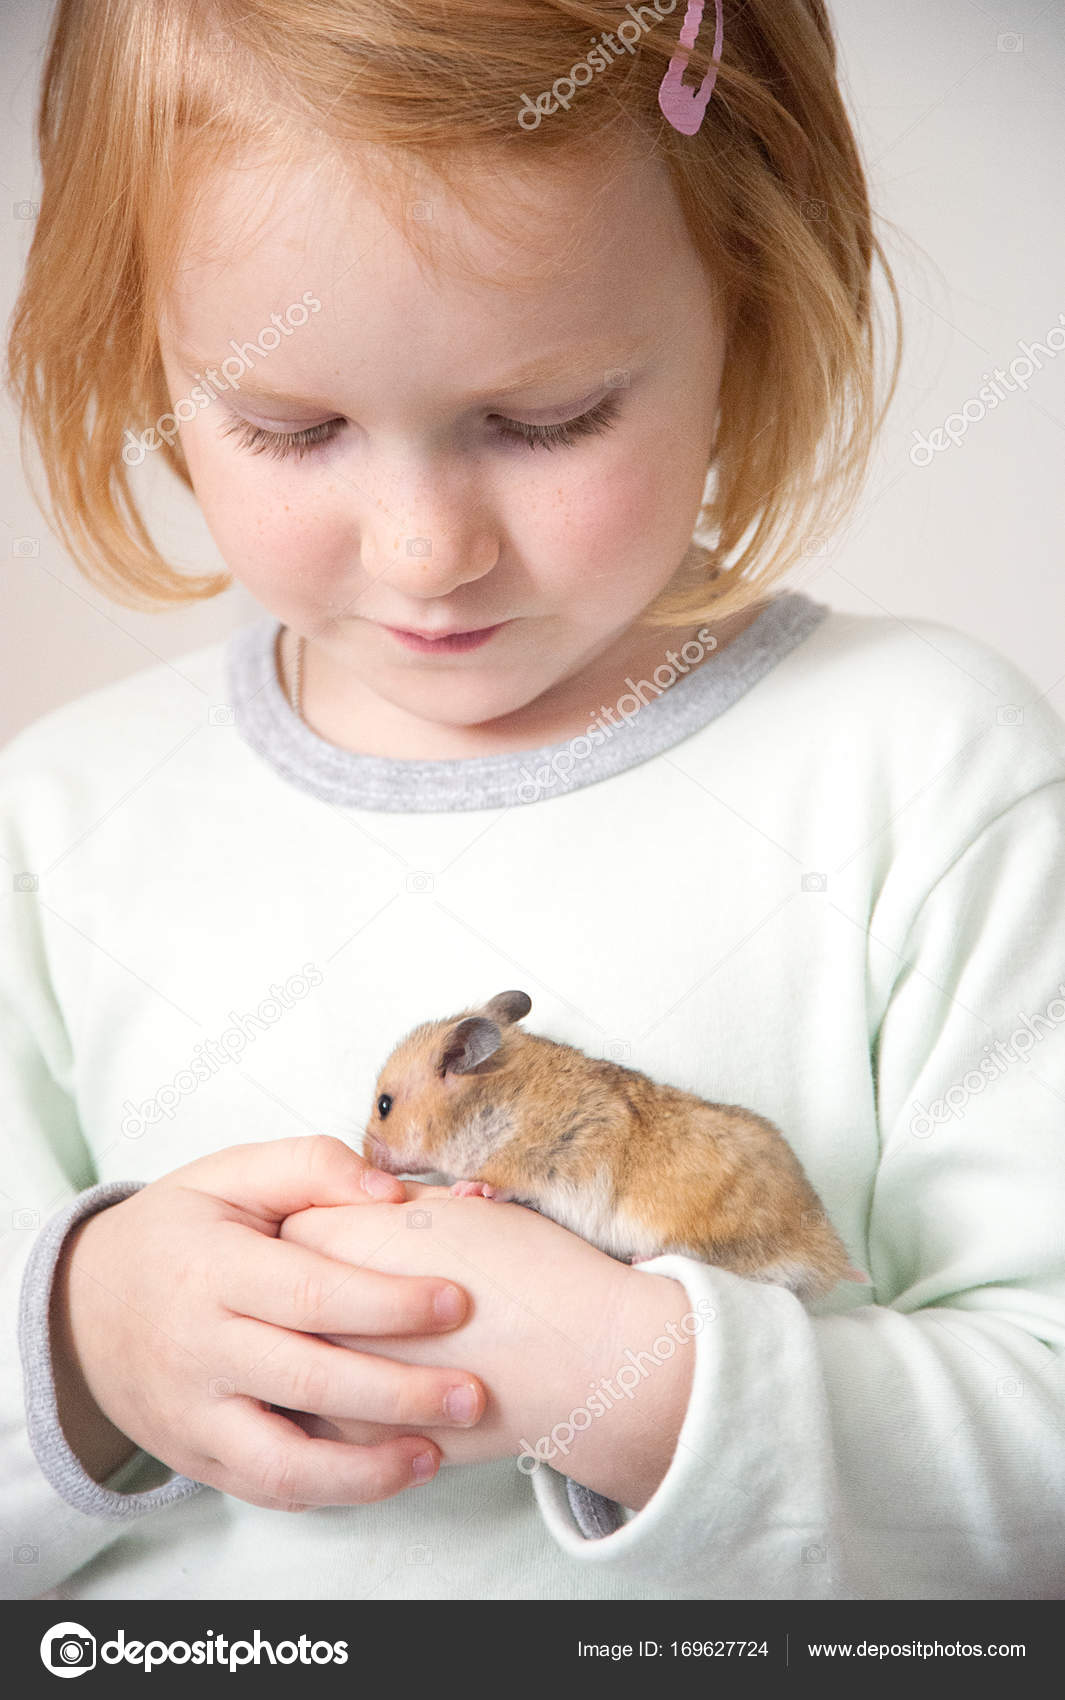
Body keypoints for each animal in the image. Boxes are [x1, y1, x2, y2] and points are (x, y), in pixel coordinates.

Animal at [364, 990, 870, 1304]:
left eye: (384, 1105)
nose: (370, 1160)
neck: (491, 1100)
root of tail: (828, 1249)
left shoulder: (542, 1162)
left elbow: (500, 1181)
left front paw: (466, 1189)